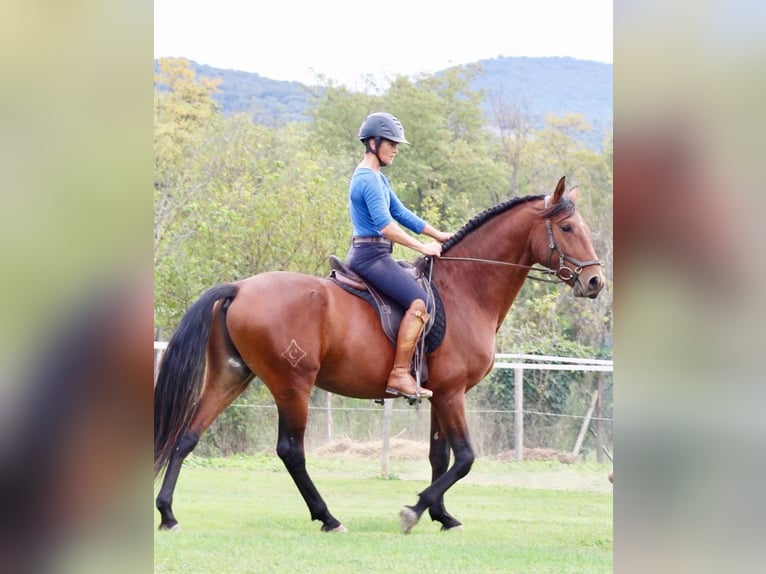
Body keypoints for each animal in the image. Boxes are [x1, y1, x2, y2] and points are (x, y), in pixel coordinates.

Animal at [154, 175, 606, 534]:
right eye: (567, 227)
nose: (595, 281)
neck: (466, 288)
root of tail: (240, 288)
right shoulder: (452, 393)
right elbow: (464, 458)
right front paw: (415, 509)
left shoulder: (439, 394)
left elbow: (439, 456)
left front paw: (441, 515)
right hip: (292, 384)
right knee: (291, 451)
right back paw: (328, 517)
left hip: (231, 375)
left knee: (187, 435)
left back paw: (168, 514)